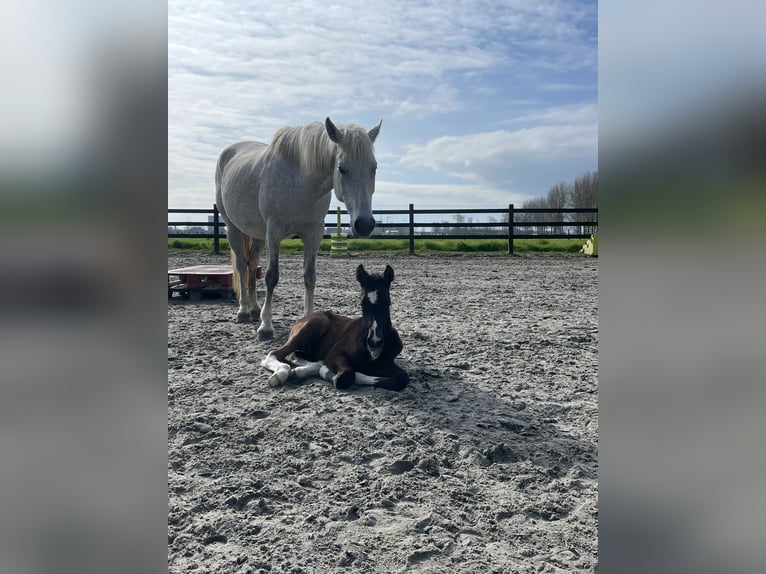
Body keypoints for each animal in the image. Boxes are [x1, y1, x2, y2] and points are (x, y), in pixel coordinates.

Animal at [214, 118, 382, 340]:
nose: (364, 224)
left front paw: (308, 319)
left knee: (252, 264)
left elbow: (309, 277)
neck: (302, 182)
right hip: (233, 227)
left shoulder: (314, 234)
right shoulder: (274, 232)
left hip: (257, 234)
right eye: (342, 168)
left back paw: (254, 308)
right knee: (242, 265)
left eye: (374, 168)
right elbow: (271, 277)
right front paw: (266, 326)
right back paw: (243, 311)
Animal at [262, 264, 412, 392]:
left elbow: (402, 379)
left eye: (387, 302)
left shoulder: (386, 363)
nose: (375, 342)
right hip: (315, 326)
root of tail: (305, 317)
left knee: (295, 355)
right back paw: (280, 374)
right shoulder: (335, 354)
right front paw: (327, 371)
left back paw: (300, 371)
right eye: (362, 303)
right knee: (274, 354)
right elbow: (346, 376)